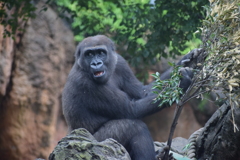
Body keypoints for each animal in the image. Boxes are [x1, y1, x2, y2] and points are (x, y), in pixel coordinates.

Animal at [61, 34, 193, 159]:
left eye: (101, 52)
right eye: (89, 54)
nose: (96, 63)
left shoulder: (120, 62)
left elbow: (142, 92)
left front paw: (185, 60)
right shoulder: (84, 83)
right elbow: (131, 109)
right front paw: (182, 84)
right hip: (95, 142)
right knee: (133, 127)